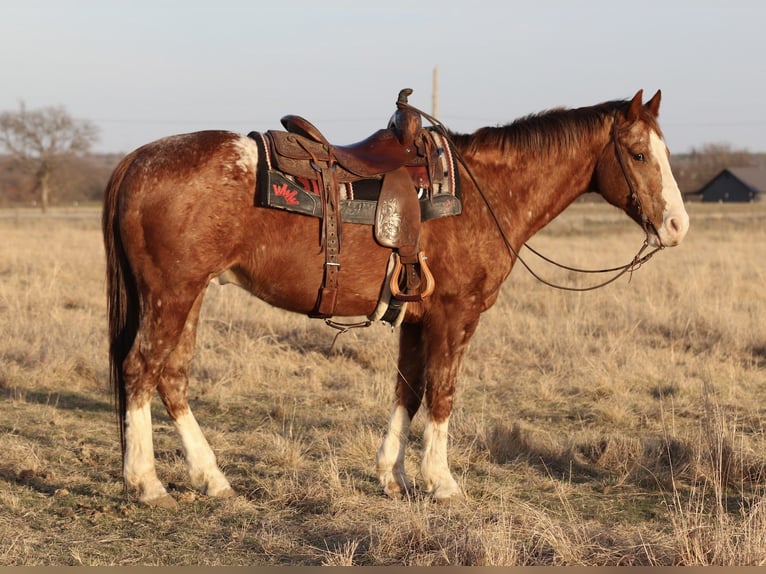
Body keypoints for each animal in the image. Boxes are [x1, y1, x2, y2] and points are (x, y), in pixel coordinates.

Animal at [103, 89, 689, 508]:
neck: (483, 194)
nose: (677, 226)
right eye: (638, 153)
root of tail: (138, 159)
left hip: (190, 295)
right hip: (171, 293)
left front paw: (394, 477)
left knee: (171, 377)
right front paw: (442, 482)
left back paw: (212, 478)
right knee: (140, 369)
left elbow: (407, 391)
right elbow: (442, 393)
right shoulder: (456, 315)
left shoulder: (416, 319)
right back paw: (146, 482)